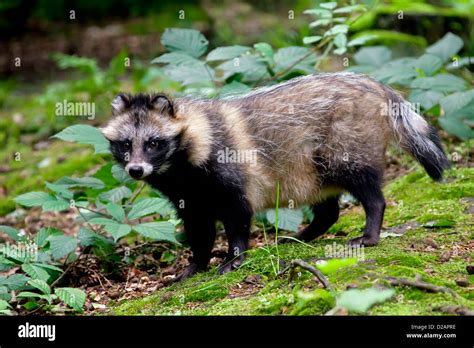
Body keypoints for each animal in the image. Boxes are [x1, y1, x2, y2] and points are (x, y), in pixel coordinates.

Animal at [102, 72, 450, 282]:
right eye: (125, 144)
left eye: (153, 143)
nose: (136, 170)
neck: (178, 170)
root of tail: (372, 84)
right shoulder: (189, 195)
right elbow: (198, 228)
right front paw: (196, 263)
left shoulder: (229, 170)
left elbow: (238, 216)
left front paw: (234, 255)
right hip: (312, 169)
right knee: (327, 208)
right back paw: (307, 232)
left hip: (344, 144)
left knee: (365, 186)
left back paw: (371, 227)